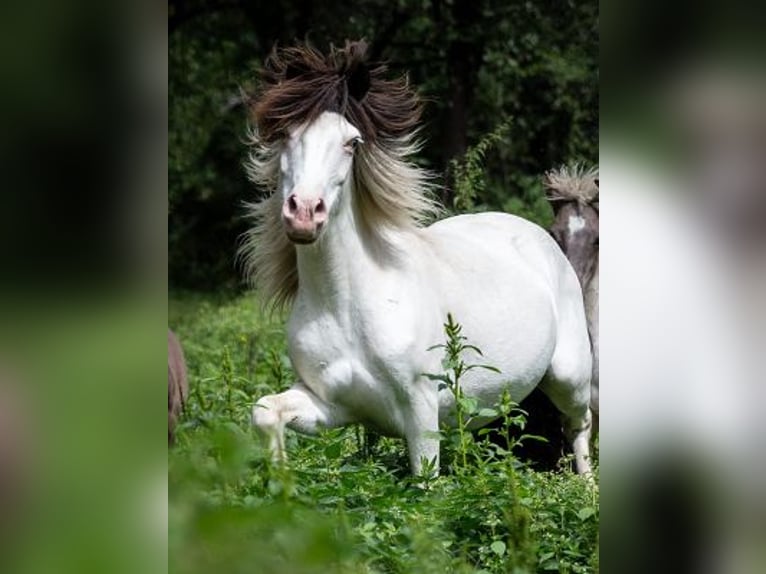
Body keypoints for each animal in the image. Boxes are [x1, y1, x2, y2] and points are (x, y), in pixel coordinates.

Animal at [242, 41, 593, 477]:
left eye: (351, 143)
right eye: (287, 135)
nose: (305, 213)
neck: (347, 306)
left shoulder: (420, 412)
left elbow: (425, 485)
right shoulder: (330, 404)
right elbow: (264, 410)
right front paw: (280, 479)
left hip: (570, 377)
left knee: (580, 427)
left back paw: (586, 485)